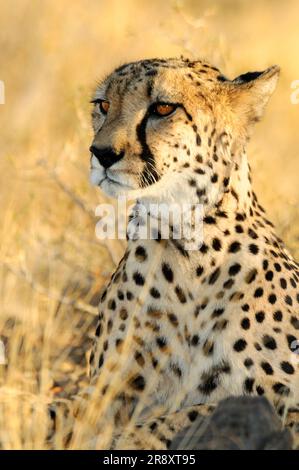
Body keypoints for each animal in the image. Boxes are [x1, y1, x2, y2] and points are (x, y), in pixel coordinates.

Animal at [52, 57, 298, 448]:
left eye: (163, 108)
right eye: (103, 105)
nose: (101, 153)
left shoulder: (285, 401)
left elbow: (199, 410)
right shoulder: (106, 389)